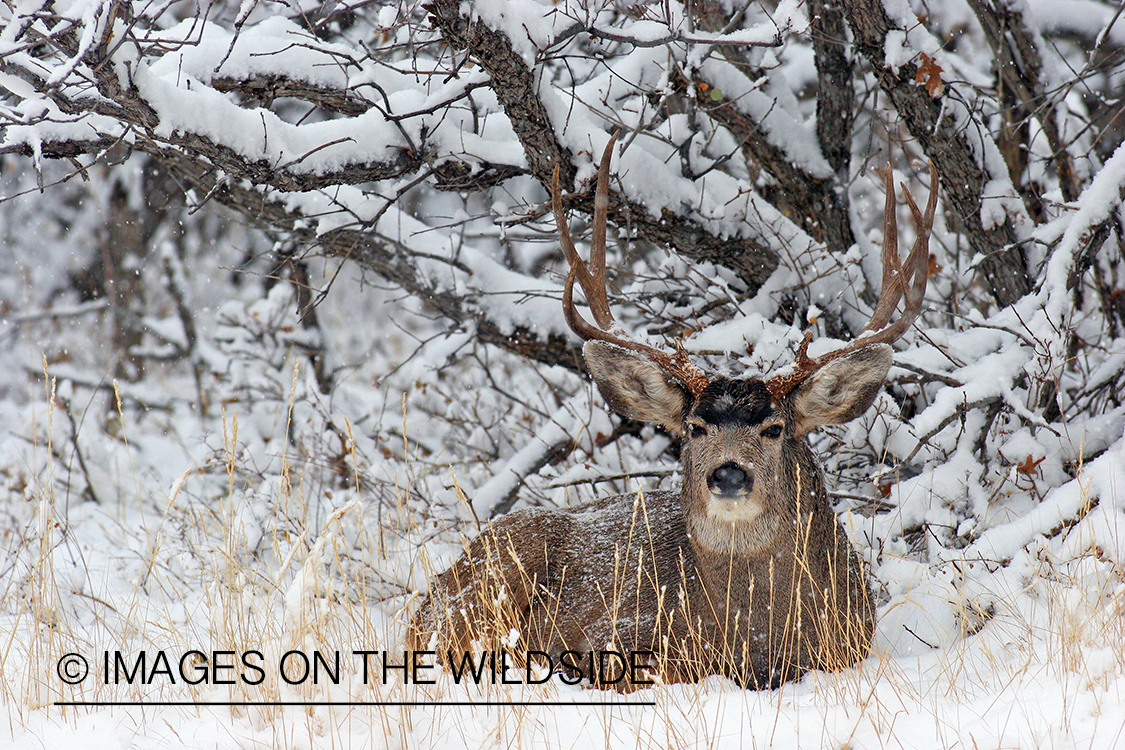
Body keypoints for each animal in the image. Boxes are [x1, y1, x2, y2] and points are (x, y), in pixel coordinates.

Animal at [409, 133, 937, 690]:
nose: (729, 475)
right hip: (480, 590)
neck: (755, 642)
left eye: (774, 428)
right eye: (694, 427)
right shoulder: (613, 638)